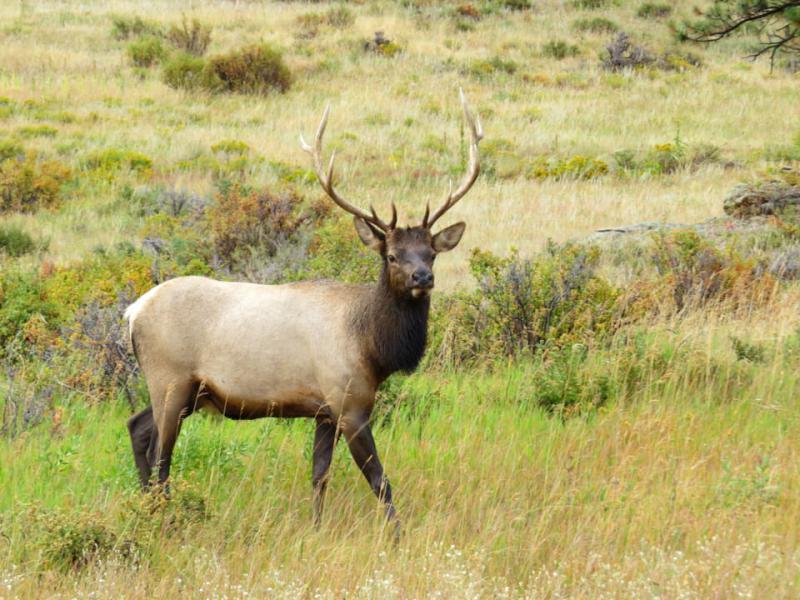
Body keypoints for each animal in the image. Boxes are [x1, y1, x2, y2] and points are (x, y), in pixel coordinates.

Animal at [125, 90, 482, 528]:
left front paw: (316, 527)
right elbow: (380, 480)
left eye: (431, 253)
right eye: (392, 256)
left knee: (137, 427)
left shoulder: (324, 412)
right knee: (160, 454)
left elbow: (319, 475)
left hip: (187, 390)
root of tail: (132, 312)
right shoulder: (349, 402)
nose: (422, 277)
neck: (371, 347)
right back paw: (163, 516)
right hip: (169, 379)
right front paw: (397, 533)